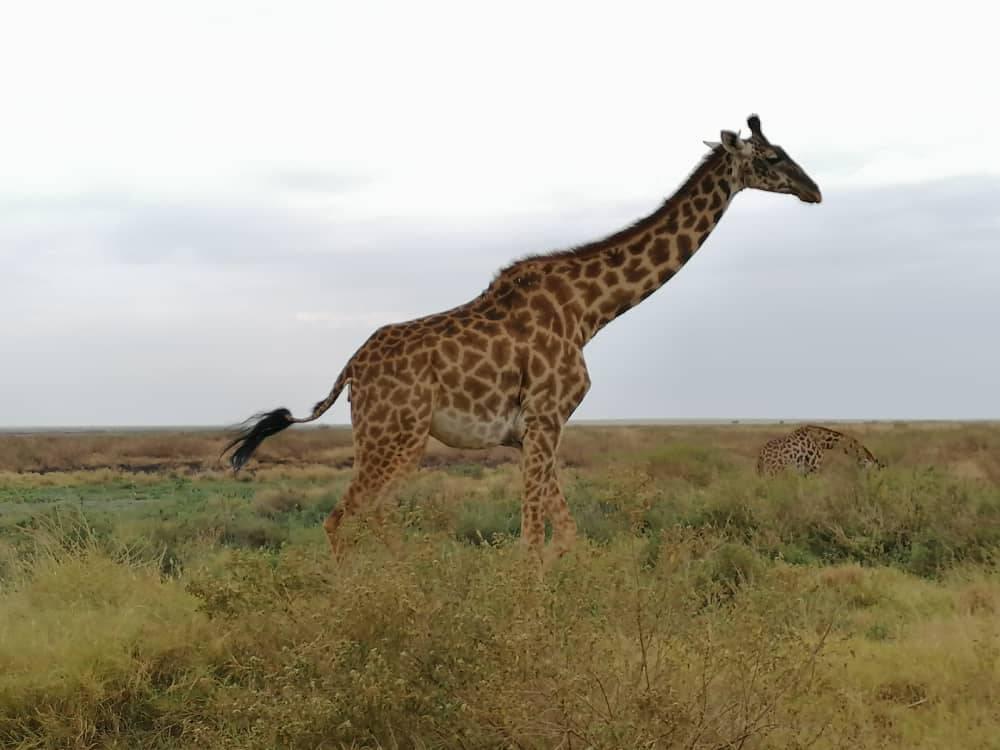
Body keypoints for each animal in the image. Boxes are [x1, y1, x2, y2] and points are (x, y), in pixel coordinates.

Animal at [223, 114, 823, 563]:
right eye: (772, 158)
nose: (814, 190)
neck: (589, 311)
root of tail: (350, 368)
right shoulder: (548, 415)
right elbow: (533, 540)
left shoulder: (530, 429)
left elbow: (567, 534)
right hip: (396, 434)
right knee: (343, 518)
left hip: (388, 437)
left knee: (369, 517)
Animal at [756, 424, 885, 477]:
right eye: (874, 471)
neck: (823, 441)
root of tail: (761, 456)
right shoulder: (814, 468)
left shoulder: (805, 471)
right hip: (774, 472)